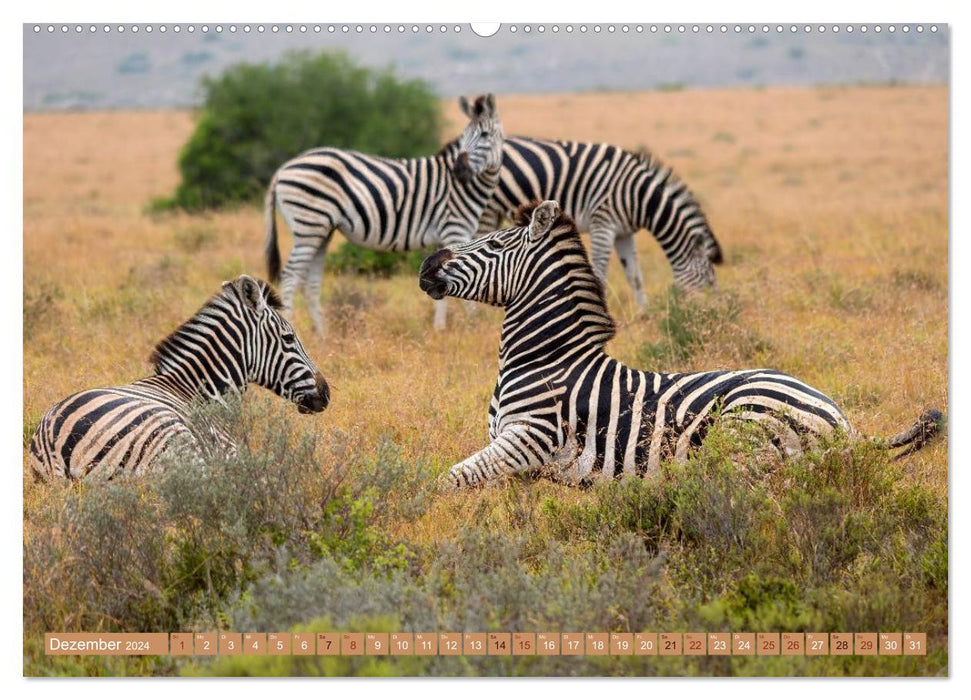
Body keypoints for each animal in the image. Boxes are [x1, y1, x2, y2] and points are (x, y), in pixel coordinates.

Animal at [27, 274, 330, 482]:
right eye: (289, 338)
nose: (326, 393)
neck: (201, 391)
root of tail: (53, 435)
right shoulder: (228, 451)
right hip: (175, 441)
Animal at [268, 93, 508, 334]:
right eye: (464, 136)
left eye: (485, 135)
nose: (459, 171)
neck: (463, 187)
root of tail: (283, 168)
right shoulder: (454, 229)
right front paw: (471, 324)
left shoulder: (445, 236)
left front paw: (440, 327)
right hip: (309, 224)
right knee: (290, 276)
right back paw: (291, 325)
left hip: (321, 231)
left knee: (311, 282)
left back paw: (322, 334)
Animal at [418, 201, 940, 486]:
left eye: (492, 245)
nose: (425, 266)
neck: (544, 358)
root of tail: (844, 421)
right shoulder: (516, 458)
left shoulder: (529, 438)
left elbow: (448, 481)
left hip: (743, 432)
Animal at [440, 137, 720, 306]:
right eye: (709, 281)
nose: (706, 314)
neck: (639, 196)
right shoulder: (603, 223)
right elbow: (600, 272)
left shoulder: (624, 232)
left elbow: (635, 276)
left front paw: (644, 313)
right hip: (485, 208)